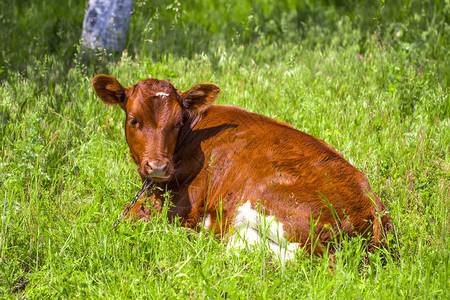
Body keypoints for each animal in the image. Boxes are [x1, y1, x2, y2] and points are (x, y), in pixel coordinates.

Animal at [93, 75, 392, 260]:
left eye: (177, 123)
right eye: (134, 120)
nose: (158, 166)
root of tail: (373, 206)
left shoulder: (182, 206)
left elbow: (128, 216)